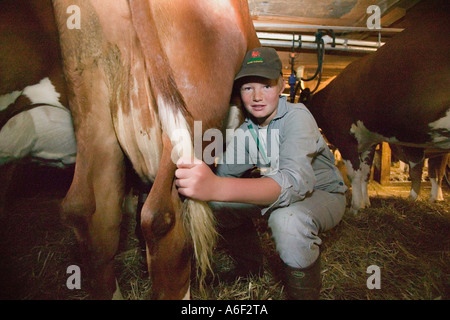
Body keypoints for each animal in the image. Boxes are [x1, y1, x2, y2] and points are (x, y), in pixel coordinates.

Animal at [308, 1, 450, 215]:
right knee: (435, 172)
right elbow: (366, 174)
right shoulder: (369, 143)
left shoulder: (346, 139)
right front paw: (365, 203)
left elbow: (355, 175)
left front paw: (355, 207)